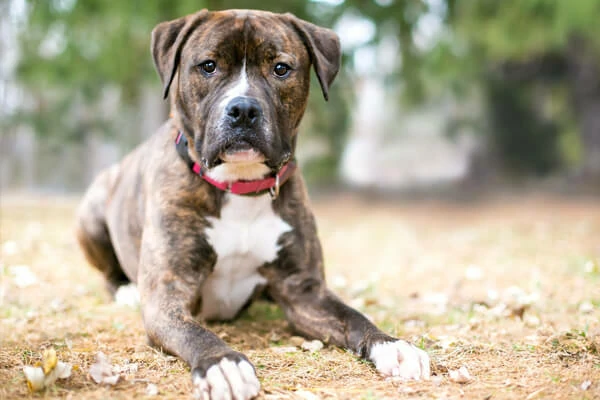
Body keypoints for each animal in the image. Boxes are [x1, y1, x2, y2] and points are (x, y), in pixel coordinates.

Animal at [76, 9, 432, 400]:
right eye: (208, 65)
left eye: (280, 68)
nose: (243, 108)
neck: (240, 187)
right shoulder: (167, 296)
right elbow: (195, 331)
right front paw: (223, 364)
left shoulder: (304, 292)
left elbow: (353, 315)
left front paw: (391, 345)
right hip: (91, 213)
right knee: (108, 273)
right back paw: (125, 290)